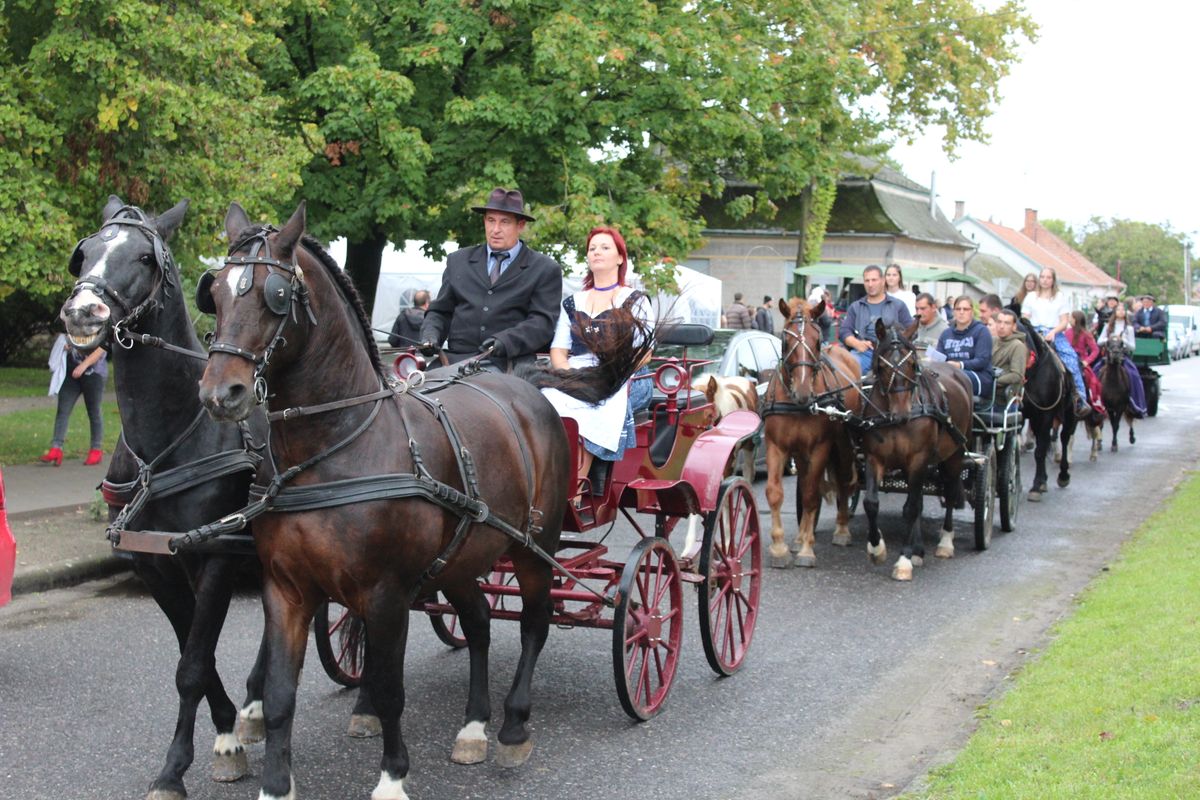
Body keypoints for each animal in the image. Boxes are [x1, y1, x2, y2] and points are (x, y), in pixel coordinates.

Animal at [59, 195, 274, 800]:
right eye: (85, 250)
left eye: (143, 258)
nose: (83, 312)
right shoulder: (153, 561)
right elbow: (190, 652)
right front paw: (225, 730)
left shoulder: (216, 556)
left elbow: (193, 664)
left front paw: (176, 767)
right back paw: (254, 707)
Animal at [763, 298, 859, 568]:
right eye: (785, 341)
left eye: (817, 342)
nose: (804, 392)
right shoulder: (776, 446)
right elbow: (775, 492)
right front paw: (780, 548)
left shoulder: (820, 447)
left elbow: (810, 495)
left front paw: (807, 550)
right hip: (801, 453)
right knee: (808, 479)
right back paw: (799, 537)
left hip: (843, 446)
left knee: (843, 482)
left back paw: (842, 530)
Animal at [859, 319, 969, 582]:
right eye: (882, 365)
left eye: (911, 364)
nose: (902, 413)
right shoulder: (874, 458)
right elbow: (871, 502)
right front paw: (877, 547)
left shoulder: (918, 459)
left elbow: (909, 509)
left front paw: (904, 560)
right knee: (919, 500)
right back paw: (919, 550)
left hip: (954, 455)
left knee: (950, 493)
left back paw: (945, 542)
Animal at [1012, 321, 1080, 501]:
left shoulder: (1045, 414)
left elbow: (1040, 450)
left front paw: (1036, 486)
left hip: (1069, 416)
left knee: (1064, 438)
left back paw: (1063, 476)